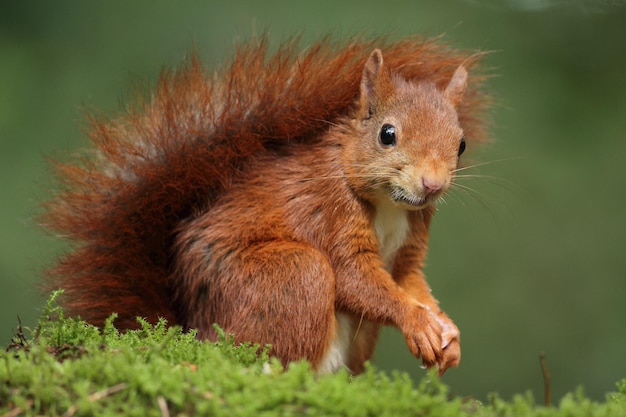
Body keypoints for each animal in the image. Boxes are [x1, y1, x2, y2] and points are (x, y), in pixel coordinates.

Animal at [44, 35, 488, 374]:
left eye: (461, 144)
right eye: (387, 134)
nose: (432, 185)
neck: (390, 206)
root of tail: (195, 330)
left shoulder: (412, 238)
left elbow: (410, 281)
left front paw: (446, 330)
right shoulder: (330, 212)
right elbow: (356, 279)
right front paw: (417, 321)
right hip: (289, 277)